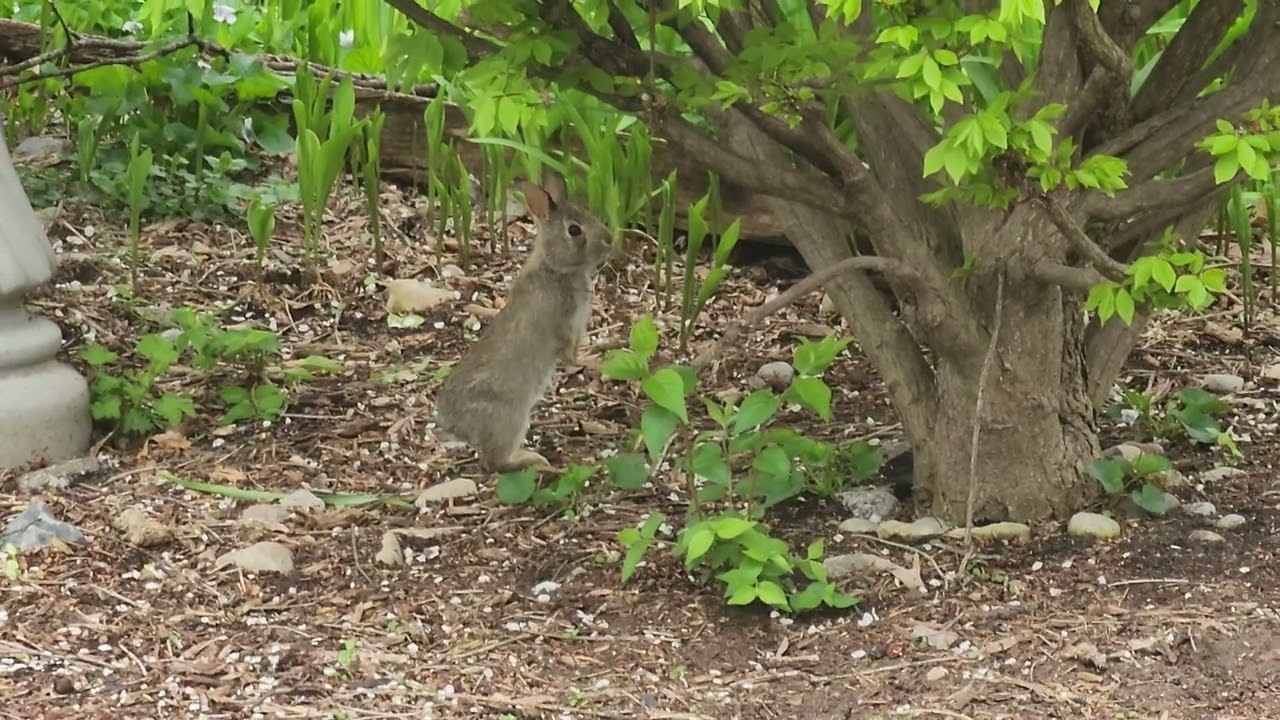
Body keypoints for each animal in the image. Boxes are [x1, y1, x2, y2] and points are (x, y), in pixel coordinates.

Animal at [433, 168, 615, 473]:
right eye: (574, 230)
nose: (610, 240)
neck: (555, 268)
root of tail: (456, 426)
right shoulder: (563, 326)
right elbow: (571, 356)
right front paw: (594, 360)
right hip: (511, 418)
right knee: (494, 462)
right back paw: (537, 462)